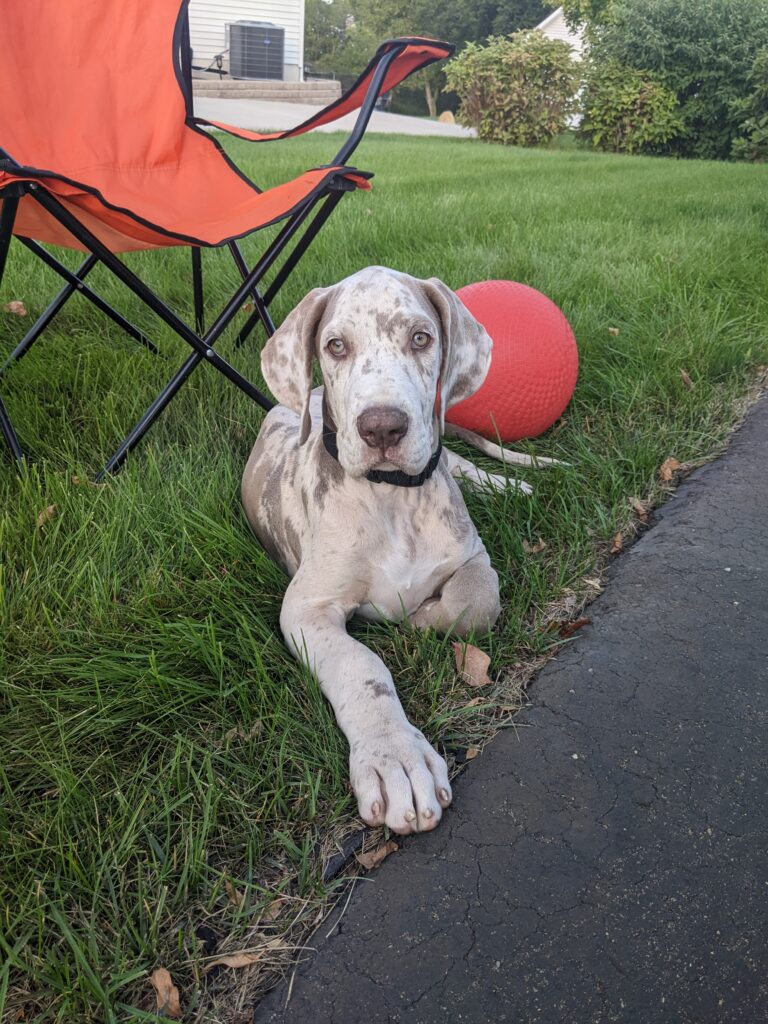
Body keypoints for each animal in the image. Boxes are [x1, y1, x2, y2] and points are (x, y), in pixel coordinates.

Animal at [243, 268, 528, 835]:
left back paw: (512, 483)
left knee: (464, 465)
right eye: (335, 345)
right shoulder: (306, 608)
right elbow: (362, 666)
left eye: (421, 337)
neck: (392, 497)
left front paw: (420, 619)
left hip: (450, 460)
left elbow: (477, 601)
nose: (381, 427)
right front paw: (395, 757)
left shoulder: (472, 556)